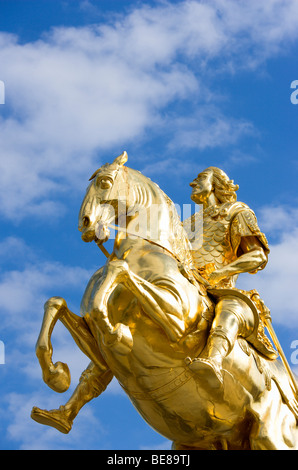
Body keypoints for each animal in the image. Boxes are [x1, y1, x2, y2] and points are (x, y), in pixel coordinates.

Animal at [31, 152, 298, 450]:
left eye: (105, 182)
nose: (85, 223)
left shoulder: (178, 323)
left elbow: (118, 270)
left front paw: (117, 333)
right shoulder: (95, 346)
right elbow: (56, 304)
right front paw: (56, 374)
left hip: (270, 436)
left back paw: (207, 368)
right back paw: (58, 415)